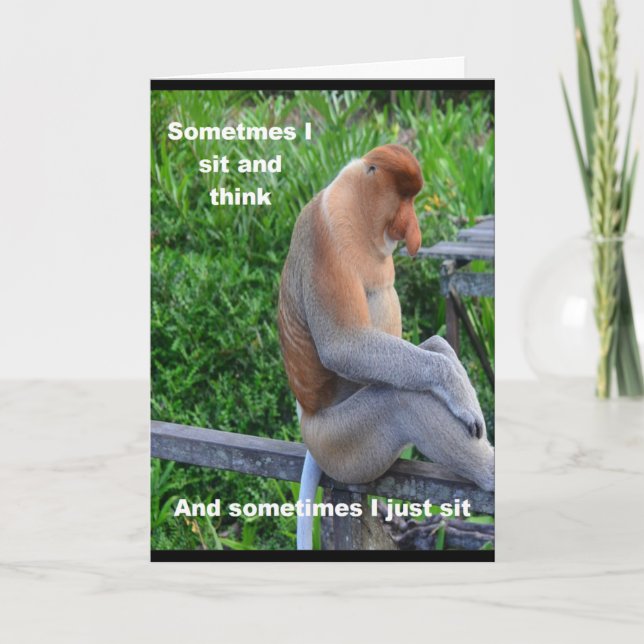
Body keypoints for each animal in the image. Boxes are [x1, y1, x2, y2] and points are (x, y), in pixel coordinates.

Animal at [277, 144, 494, 550]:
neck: (356, 207)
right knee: (401, 400)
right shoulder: (325, 236)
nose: (413, 227)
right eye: (404, 199)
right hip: (342, 444)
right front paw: (460, 392)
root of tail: (308, 419)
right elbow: (343, 346)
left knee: (422, 358)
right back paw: (491, 471)